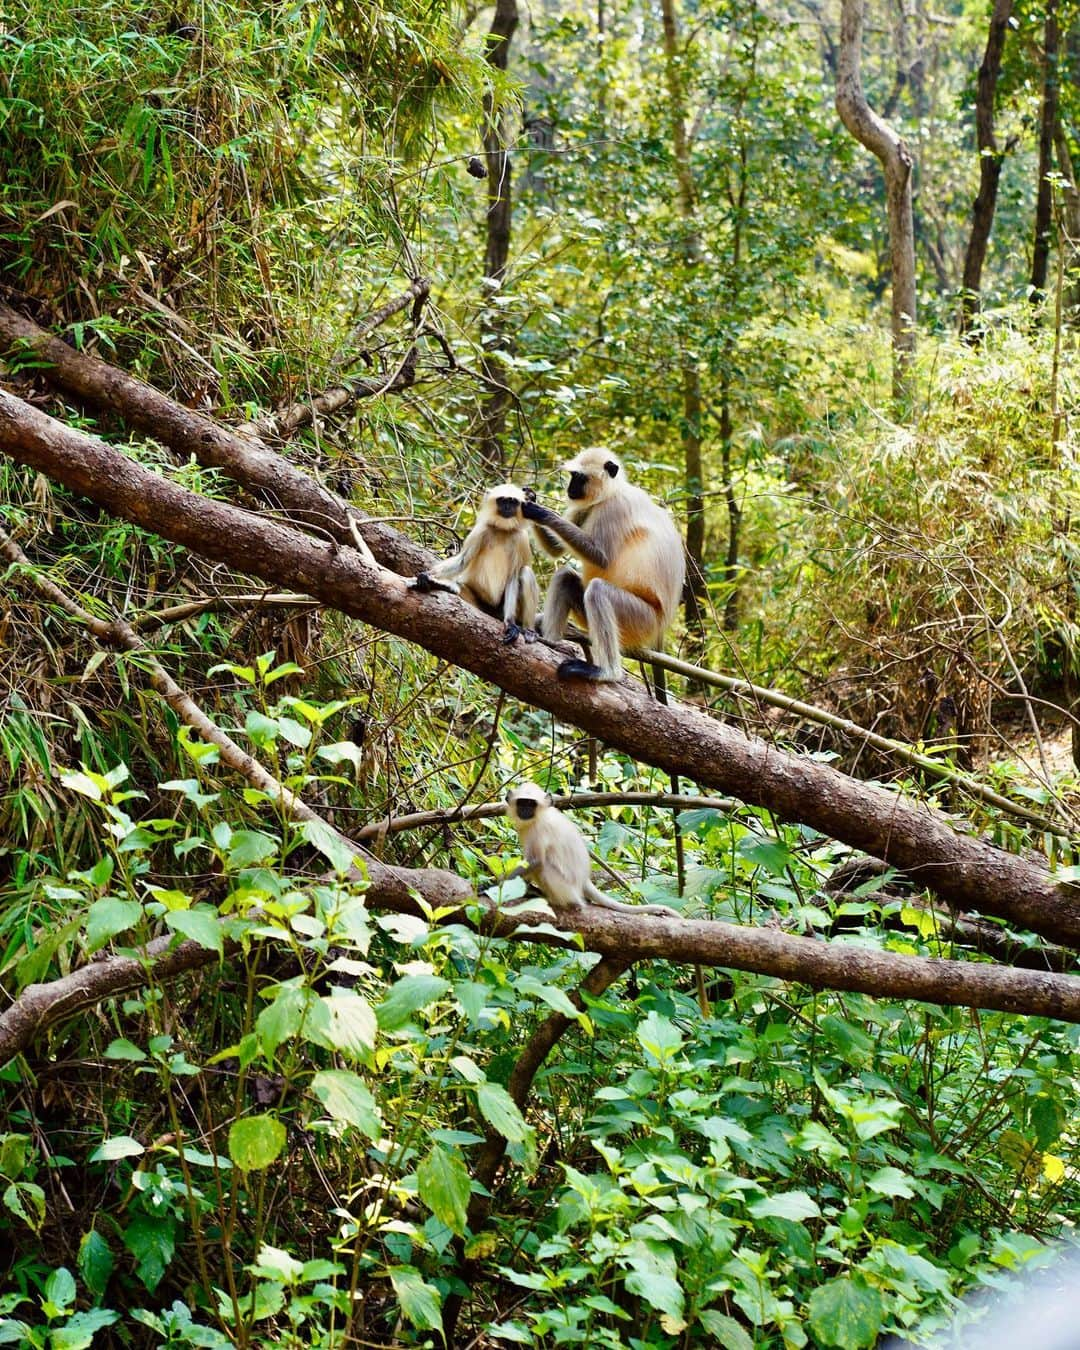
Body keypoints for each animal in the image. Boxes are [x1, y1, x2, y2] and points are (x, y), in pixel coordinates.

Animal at [410, 486, 540, 642]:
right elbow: (462, 560)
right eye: (502, 500)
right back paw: (441, 585)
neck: (502, 530)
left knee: (525, 572)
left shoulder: (521, 539)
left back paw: (529, 630)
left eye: (512, 502)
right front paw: (427, 575)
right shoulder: (481, 530)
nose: (507, 507)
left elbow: (513, 577)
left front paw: (510, 623)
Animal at [504, 783, 675, 918]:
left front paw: (499, 884)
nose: (525, 810)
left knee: (544, 867)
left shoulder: (540, 829)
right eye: (522, 802)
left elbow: (535, 861)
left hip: (567, 889)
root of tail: (584, 881)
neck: (538, 817)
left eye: (531, 804)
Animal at [521, 448, 683, 680]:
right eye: (573, 476)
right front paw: (531, 498)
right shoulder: (589, 506)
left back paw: (606, 673)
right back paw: (551, 642)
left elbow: (601, 558)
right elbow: (555, 550)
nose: (570, 489)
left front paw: (539, 511)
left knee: (598, 590)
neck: (612, 491)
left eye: (580, 478)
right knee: (565, 577)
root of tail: (661, 626)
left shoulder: (614, 508)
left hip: (642, 620)